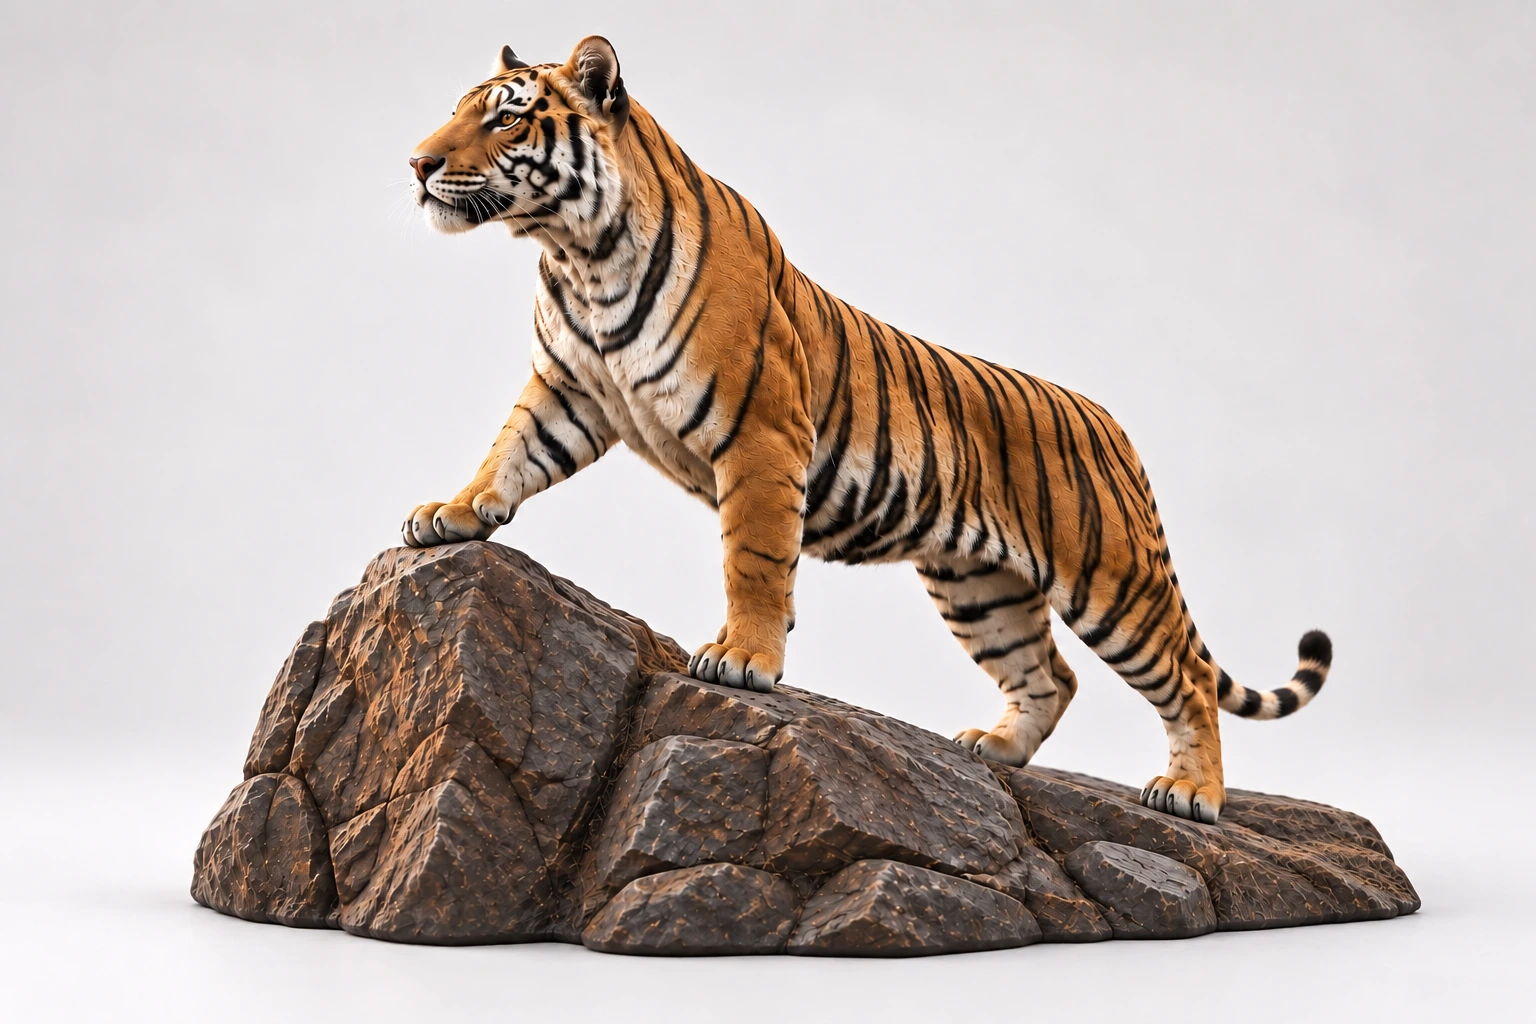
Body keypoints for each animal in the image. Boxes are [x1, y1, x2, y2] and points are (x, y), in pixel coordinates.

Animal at [400, 36, 1333, 825]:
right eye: (458, 109)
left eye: (506, 116)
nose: (417, 163)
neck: (579, 254)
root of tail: (1112, 423)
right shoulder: (568, 392)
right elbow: (508, 454)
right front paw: (450, 514)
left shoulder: (761, 433)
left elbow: (753, 560)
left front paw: (743, 659)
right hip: (980, 586)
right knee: (1052, 676)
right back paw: (994, 750)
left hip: (1112, 578)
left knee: (1187, 678)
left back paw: (1191, 794)